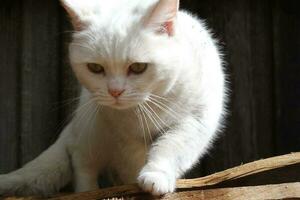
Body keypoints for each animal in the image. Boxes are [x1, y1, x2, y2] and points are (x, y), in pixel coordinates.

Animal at [0, 0, 225, 197]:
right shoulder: (123, 137)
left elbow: (170, 148)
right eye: (95, 68)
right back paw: (88, 191)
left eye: (138, 67)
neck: (146, 106)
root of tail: (72, 128)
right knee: (82, 161)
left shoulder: (194, 122)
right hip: (92, 131)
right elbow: (130, 160)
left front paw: (156, 176)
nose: (115, 91)